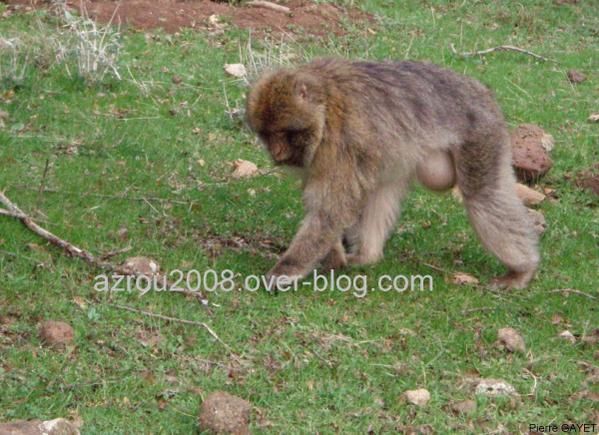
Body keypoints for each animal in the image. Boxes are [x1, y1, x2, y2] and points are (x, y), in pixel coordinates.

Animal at [246, 58, 540, 290]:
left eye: (284, 133)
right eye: (267, 135)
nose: (277, 154)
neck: (326, 107)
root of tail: (481, 91)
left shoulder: (340, 143)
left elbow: (331, 209)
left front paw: (288, 270)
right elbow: (324, 206)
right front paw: (334, 257)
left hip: (481, 135)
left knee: (483, 196)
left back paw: (522, 270)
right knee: (382, 191)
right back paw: (368, 256)